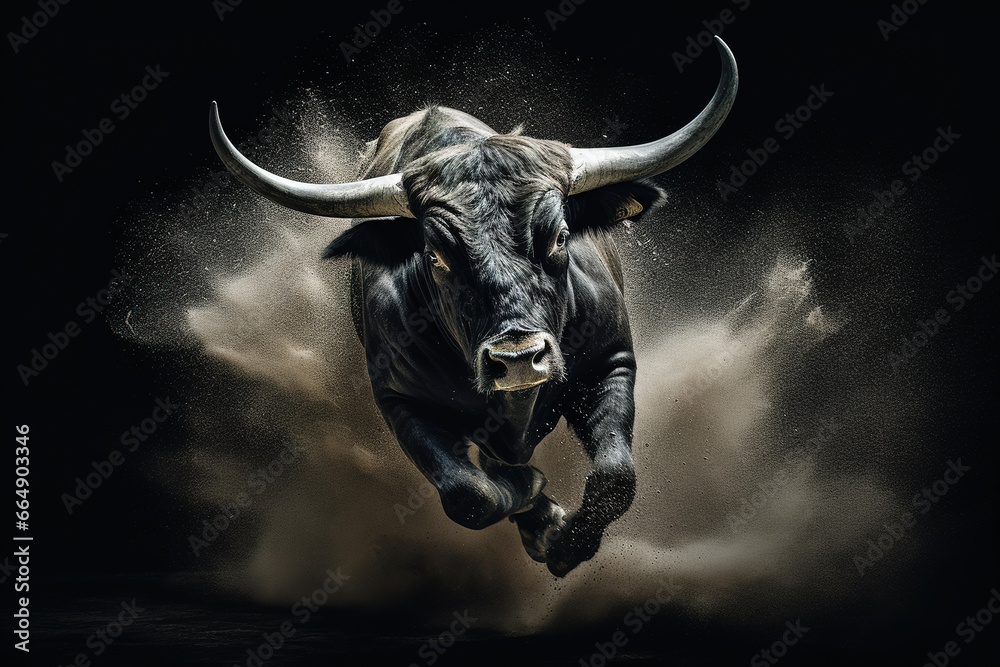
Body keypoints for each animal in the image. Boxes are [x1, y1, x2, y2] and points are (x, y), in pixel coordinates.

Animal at [209, 37, 737, 577]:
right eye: (436, 254)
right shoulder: (400, 401)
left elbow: (615, 478)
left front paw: (565, 546)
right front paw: (538, 506)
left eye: (560, 235)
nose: (518, 358)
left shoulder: (612, 363)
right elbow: (471, 495)